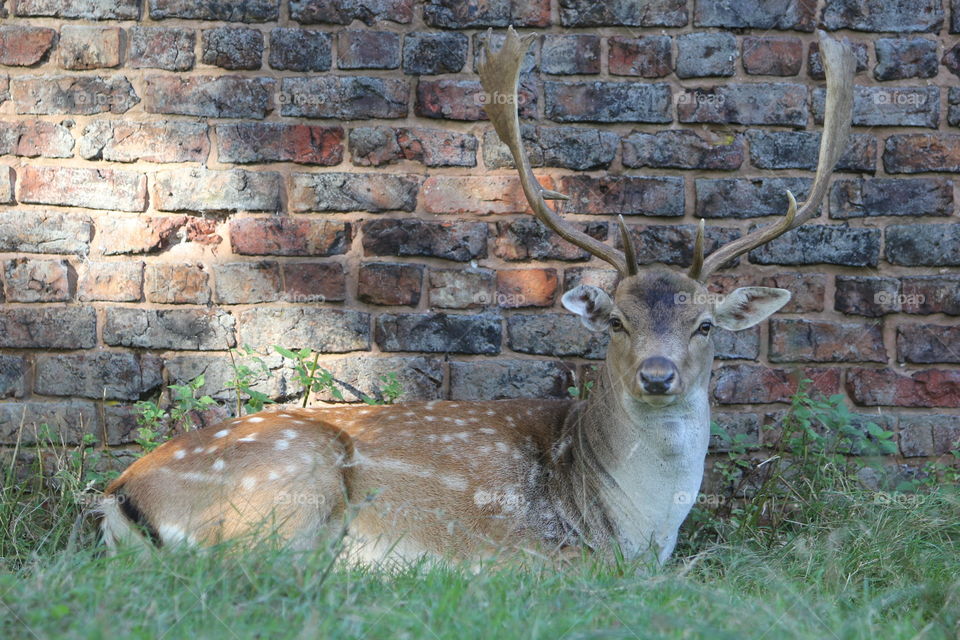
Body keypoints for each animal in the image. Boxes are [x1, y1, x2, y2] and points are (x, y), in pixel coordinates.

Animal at [99, 28, 855, 566]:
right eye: (616, 320)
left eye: (705, 326)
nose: (658, 374)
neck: (634, 529)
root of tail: (116, 496)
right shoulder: (545, 558)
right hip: (287, 491)